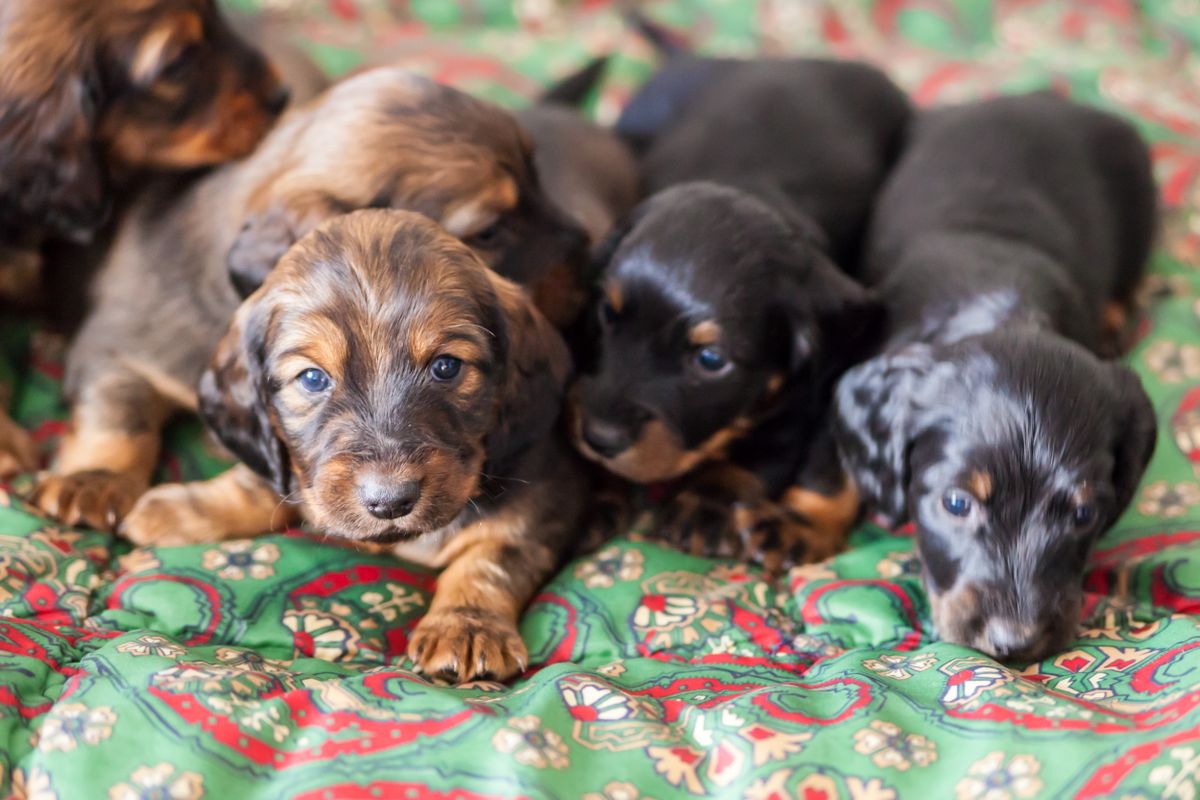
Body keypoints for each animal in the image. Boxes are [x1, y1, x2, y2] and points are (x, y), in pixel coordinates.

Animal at [29, 67, 585, 532]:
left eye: (538, 176)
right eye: (490, 230)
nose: (593, 257)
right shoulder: (119, 345)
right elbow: (119, 414)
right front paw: (93, 479)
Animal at [181, 211, 580, 681]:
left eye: (446, 367)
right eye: (312, 378)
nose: (390, 501)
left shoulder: (547, 490)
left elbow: (493, 554)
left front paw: (466, 625)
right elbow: (274, 484)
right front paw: (181, 510)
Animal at [571, 17, 907, 568]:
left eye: (711, 360)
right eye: (606, 314)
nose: (600, 438)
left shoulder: (813, 382)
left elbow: (768, 447)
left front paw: (708, 500)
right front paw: (593, 487)